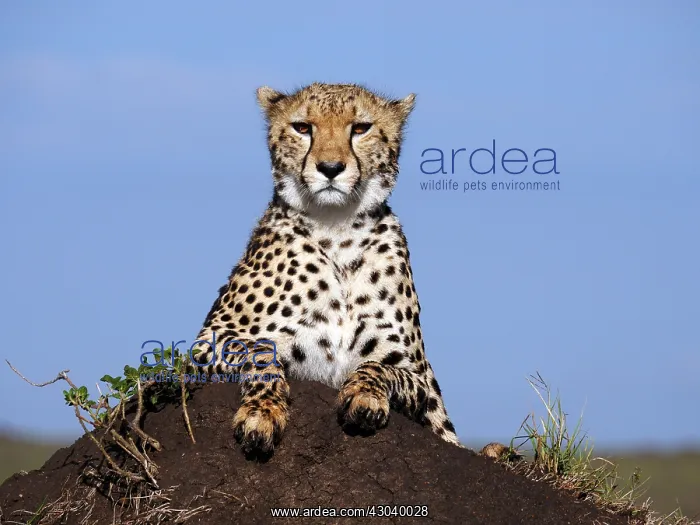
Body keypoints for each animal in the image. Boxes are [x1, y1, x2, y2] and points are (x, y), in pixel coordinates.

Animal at [187, 82, 462, 458]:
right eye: (303, 127)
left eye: (361, 128)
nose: (330, 168)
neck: (336, 229)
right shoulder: (205, 345)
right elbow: (261, 353)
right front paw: (262, 414)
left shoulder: (417, 377)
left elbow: (378, 367)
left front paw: (365, 396)